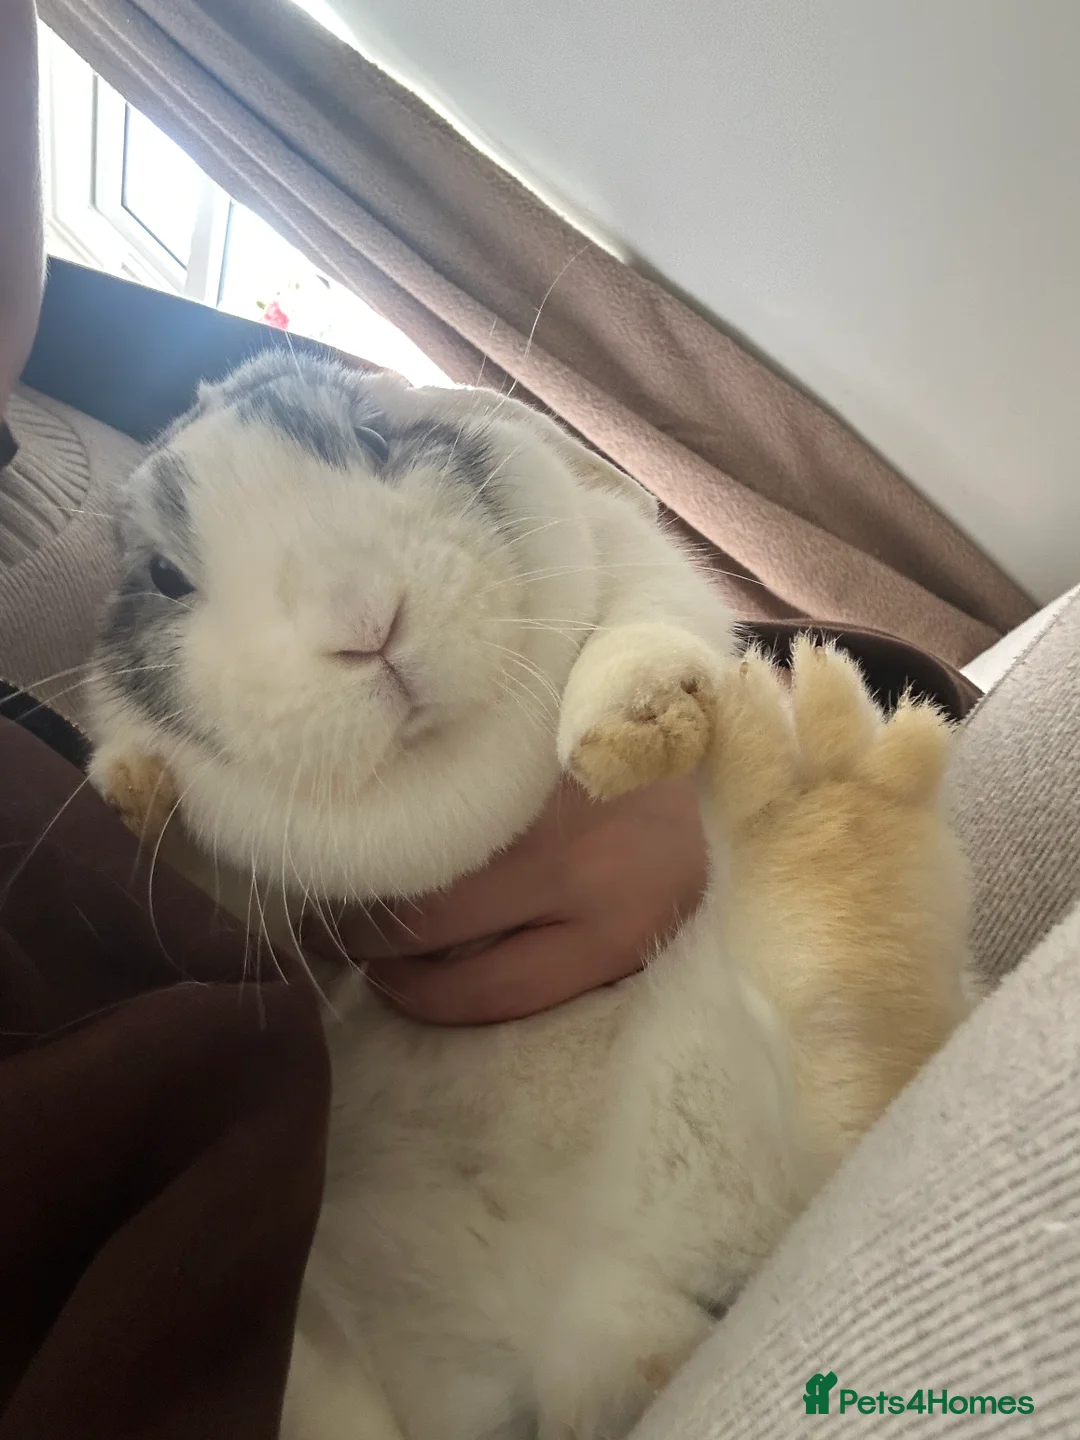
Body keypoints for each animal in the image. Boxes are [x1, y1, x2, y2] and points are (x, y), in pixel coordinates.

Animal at [85, 352, 971, 1440]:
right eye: (166, 577)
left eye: (373, 438)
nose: (364, 622)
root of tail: (569, 1323)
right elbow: (214, 882)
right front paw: (135, 786)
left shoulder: (638, 565)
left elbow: (645, 628)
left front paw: (633, 724)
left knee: (834, 1114)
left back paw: (826, 791)